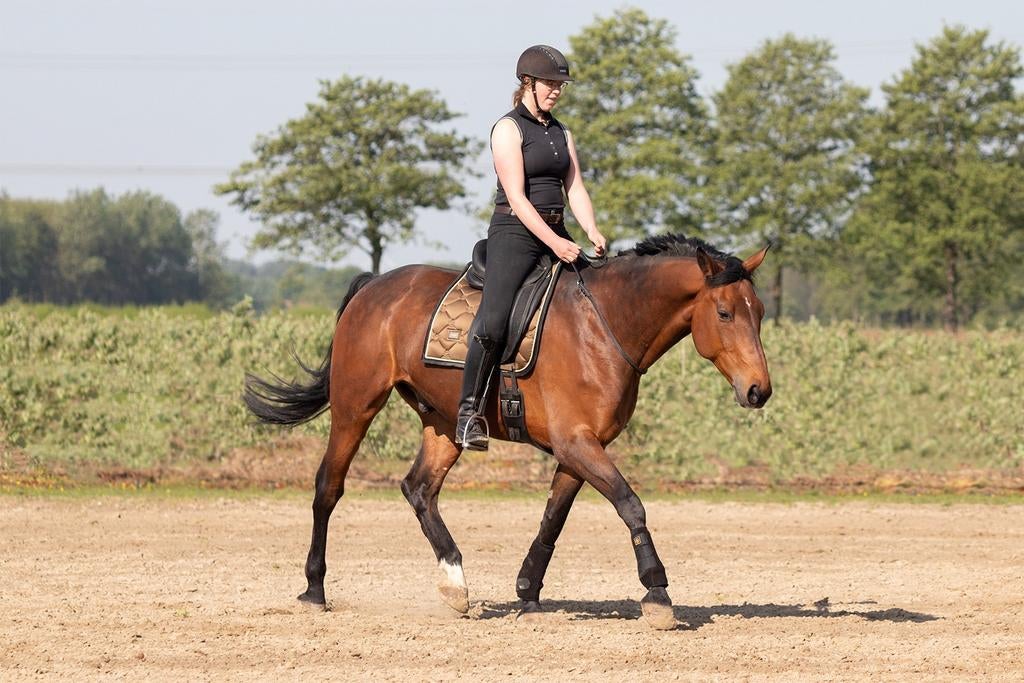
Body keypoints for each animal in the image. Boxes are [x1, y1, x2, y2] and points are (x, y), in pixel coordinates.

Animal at [244, 234, 772, 630]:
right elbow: (630, 504)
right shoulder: (576, 442)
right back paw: (314, 589)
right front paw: (657, 590)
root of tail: (374, 287)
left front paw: (528, 592)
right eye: (725, 313)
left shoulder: (580, 447)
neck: (604, 325)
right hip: (356, 408)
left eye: (760, 313)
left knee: (419, 489)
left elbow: (553, 519)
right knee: (328, 488)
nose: (758, 391)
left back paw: (455, 584)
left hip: (445, 424)